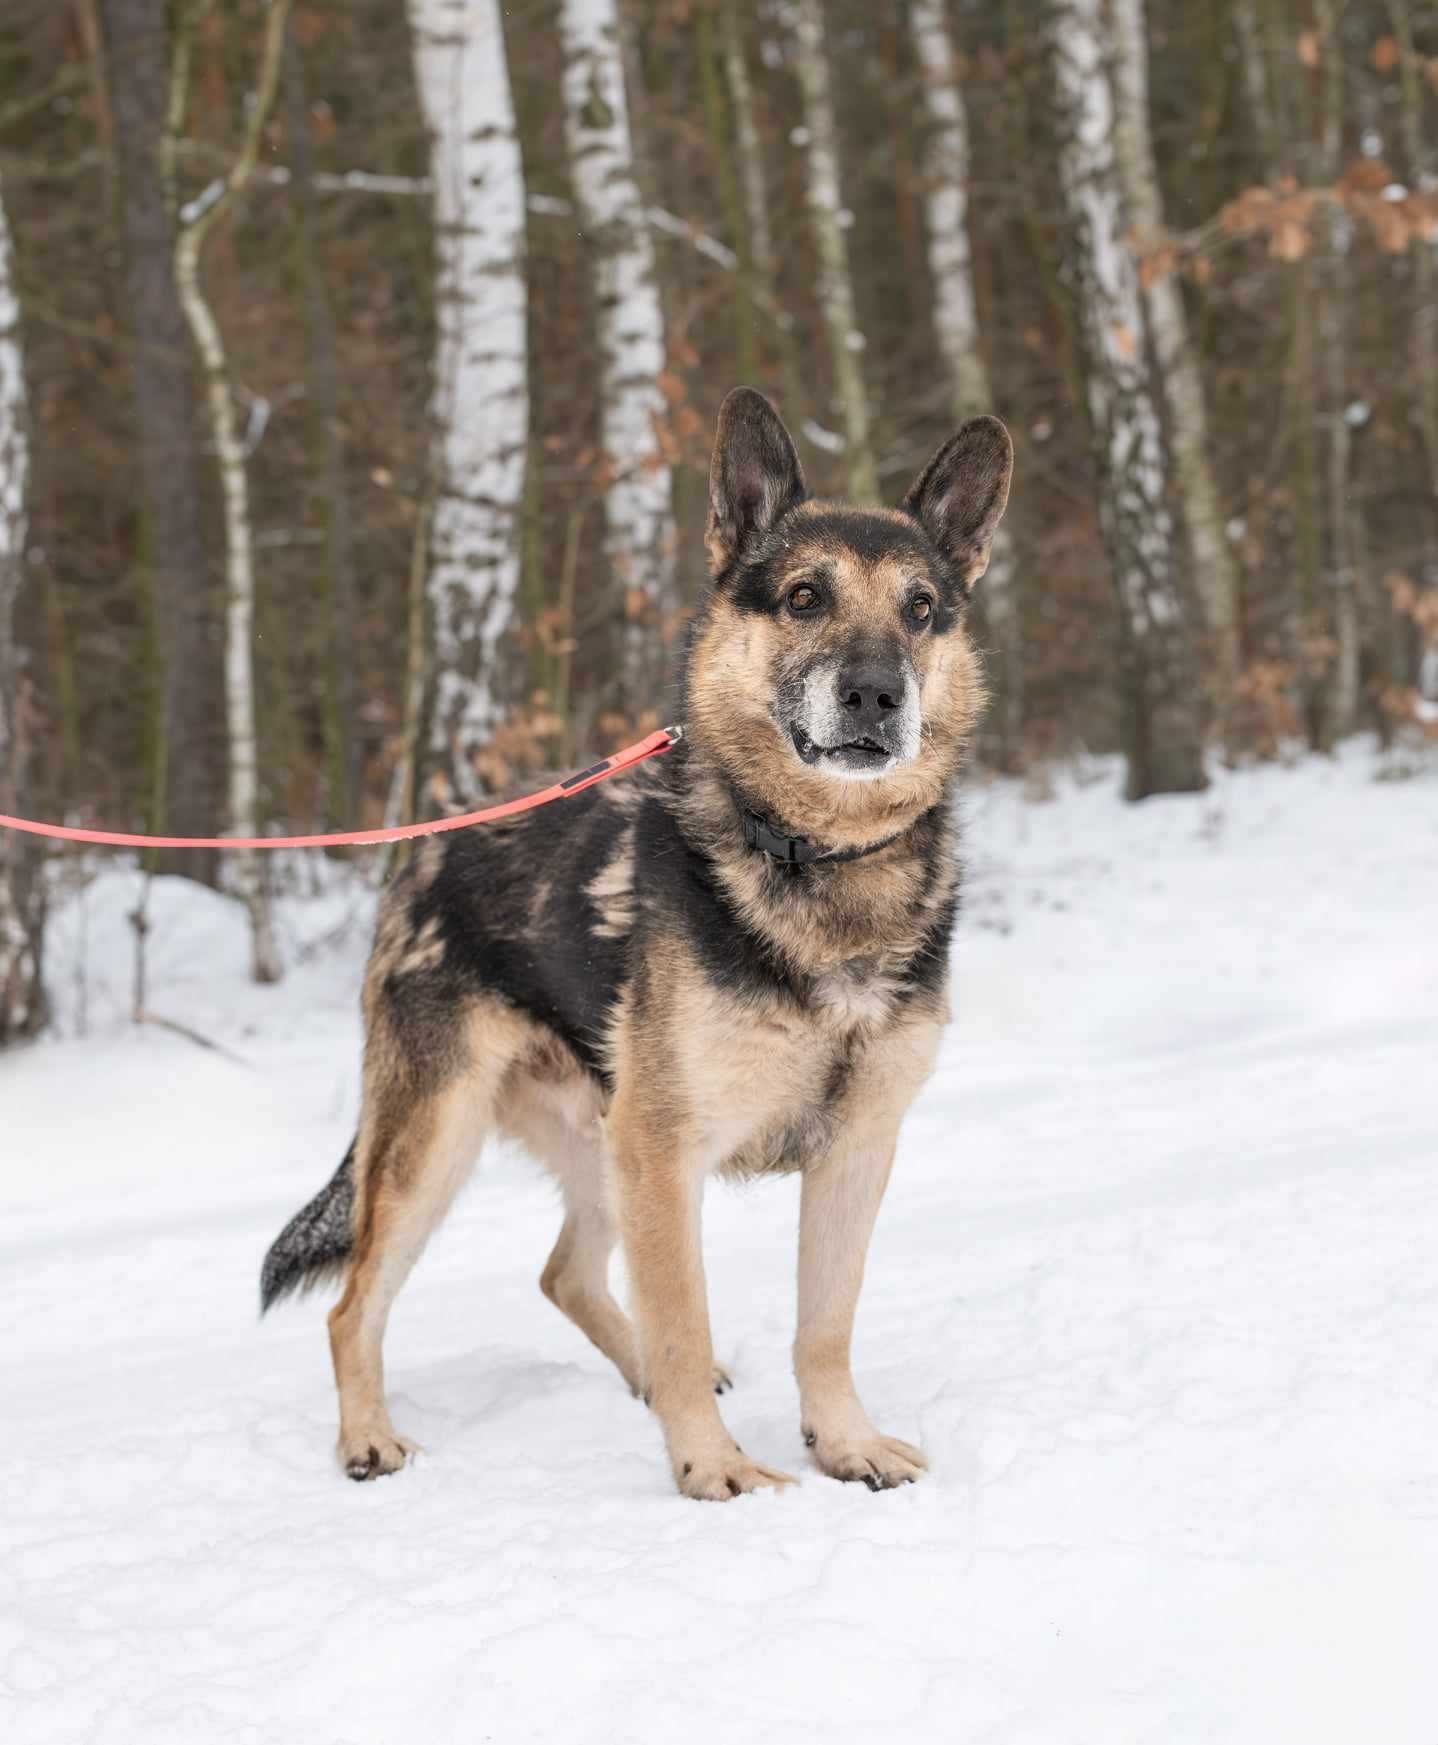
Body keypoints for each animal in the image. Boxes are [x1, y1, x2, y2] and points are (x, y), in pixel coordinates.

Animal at [261, 385, 1012, 1500]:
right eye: (803, 597)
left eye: (920, 609)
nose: (878, 694)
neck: (813, 857)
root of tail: (426, 855)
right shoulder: (667, 1151)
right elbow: (683, 1315)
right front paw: (712, 1468)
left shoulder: (855, 1149)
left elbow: (824, 1326)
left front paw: (844, 1443)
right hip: (446, 1140)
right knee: (356, 1303)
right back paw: (368, 1439)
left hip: (600, 1136)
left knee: (564, 1272)